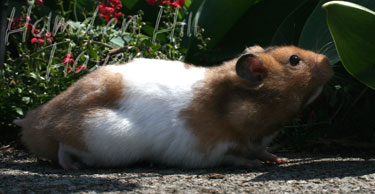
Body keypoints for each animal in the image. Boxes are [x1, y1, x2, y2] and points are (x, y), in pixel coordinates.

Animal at [13, 45, 334, 170]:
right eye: (294, 60)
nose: (329, 62)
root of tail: (31, 123)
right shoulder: (212, 151)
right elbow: (237, 158)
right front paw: (256, 165)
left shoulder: (255, 142)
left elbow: (263, 151)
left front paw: (279, 160)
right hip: (98, 135)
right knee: (62, 144)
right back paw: (73, 165)